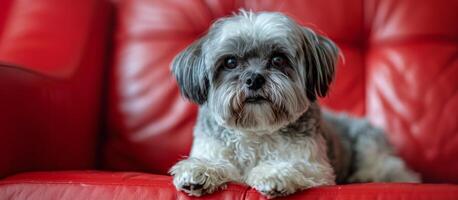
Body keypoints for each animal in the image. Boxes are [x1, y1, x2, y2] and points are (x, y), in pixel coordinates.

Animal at [168, 10, 418, 198]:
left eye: (278, 59)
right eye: (230, 62)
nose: (254, 79)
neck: (257, 131)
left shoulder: (316, 167)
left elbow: (293, 166)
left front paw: (274, 174)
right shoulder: (212, 147)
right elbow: (217, 163)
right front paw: (199, 170)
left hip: (369, 146)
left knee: (394, 170)